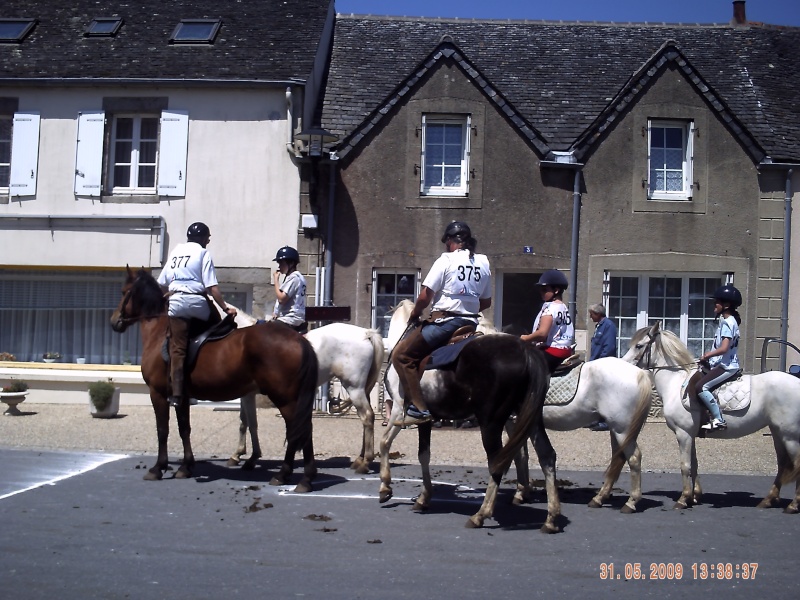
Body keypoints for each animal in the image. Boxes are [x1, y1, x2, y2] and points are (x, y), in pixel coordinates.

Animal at [110, 268, 322, 492]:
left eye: (124, 292)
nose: (114, 321)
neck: (160, 331)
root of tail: (298, 339)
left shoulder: (157, 393)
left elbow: (163, 430)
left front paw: (159, 467)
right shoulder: (182, 397)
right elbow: (184, 428)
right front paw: (186, 466)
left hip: (286, 399)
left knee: (298, 430)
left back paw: (292, 476)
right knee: (301, 429)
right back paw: (299, 476)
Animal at [231, 310, 384, 474]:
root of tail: (366, 333)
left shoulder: (248, 394)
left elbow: (250, 423)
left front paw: (248, 457)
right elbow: (244, 421)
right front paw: (238, 454)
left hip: (354, 388)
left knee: (367, 416)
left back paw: (365, 462)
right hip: (362, 389)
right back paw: (360, 459)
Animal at [384, 298, 652, 510]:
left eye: (640, 345)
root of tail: (639, 372)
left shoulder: (400, 408)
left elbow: (388, 443)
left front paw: (387, 487)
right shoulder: (514, 422)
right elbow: (520, 455)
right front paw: (522, 492)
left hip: (621, 427)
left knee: (634, 457)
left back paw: (630, 501)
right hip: (617, 428)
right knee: (619, 457)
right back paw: (601, 497)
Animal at [620, 322, 800, 512]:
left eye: (639, 346)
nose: (623, 365)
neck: (676, 382)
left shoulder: (683, 433)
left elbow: (685, 466)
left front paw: (683, 499)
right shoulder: (690, 434)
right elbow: (694, 464)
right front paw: (695, 496)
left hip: (789, 435)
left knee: (796, 464)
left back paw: (793, 505)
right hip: (778, 432)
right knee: (782, 464)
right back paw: (768, 500)